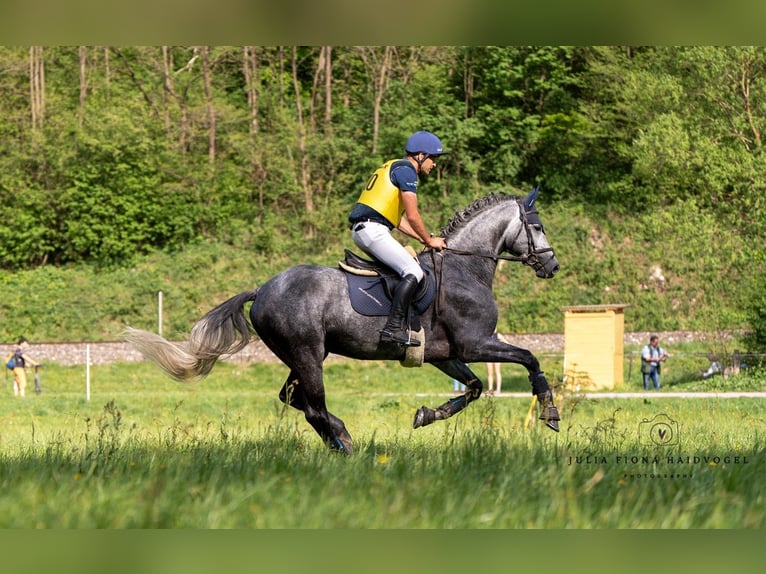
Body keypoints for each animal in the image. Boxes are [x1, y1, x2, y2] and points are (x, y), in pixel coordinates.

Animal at [121, 189, 564, 454]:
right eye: (537, 225)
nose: (553, 266)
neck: (464, 267)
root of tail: (261, 290)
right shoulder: (477, 342)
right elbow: (530, 358)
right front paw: (550, 412)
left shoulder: (446, 353)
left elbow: (472, 388)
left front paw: (427, 415)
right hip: (307, 352)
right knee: (312, 407)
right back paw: (345, 446)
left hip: (302, 356)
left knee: (293, 398)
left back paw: (342, 435)